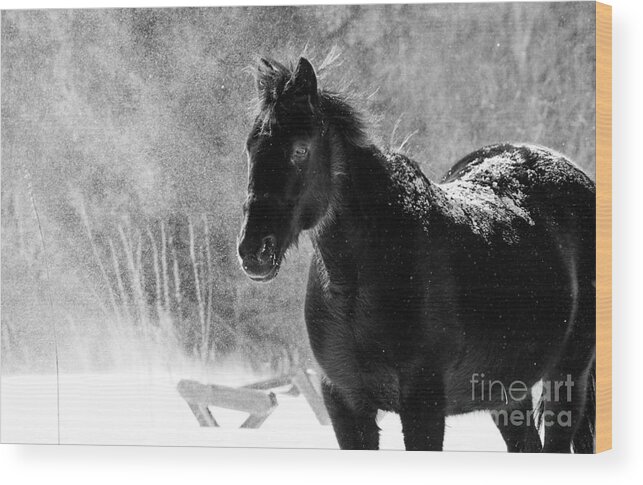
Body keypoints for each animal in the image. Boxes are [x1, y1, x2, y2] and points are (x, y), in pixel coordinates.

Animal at [239, 57, 596, 454]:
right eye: (251, 147)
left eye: (300, 149)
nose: (254, 250)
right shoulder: (345, 401)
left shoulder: (423, 403)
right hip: (507, 391)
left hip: (567, 375)